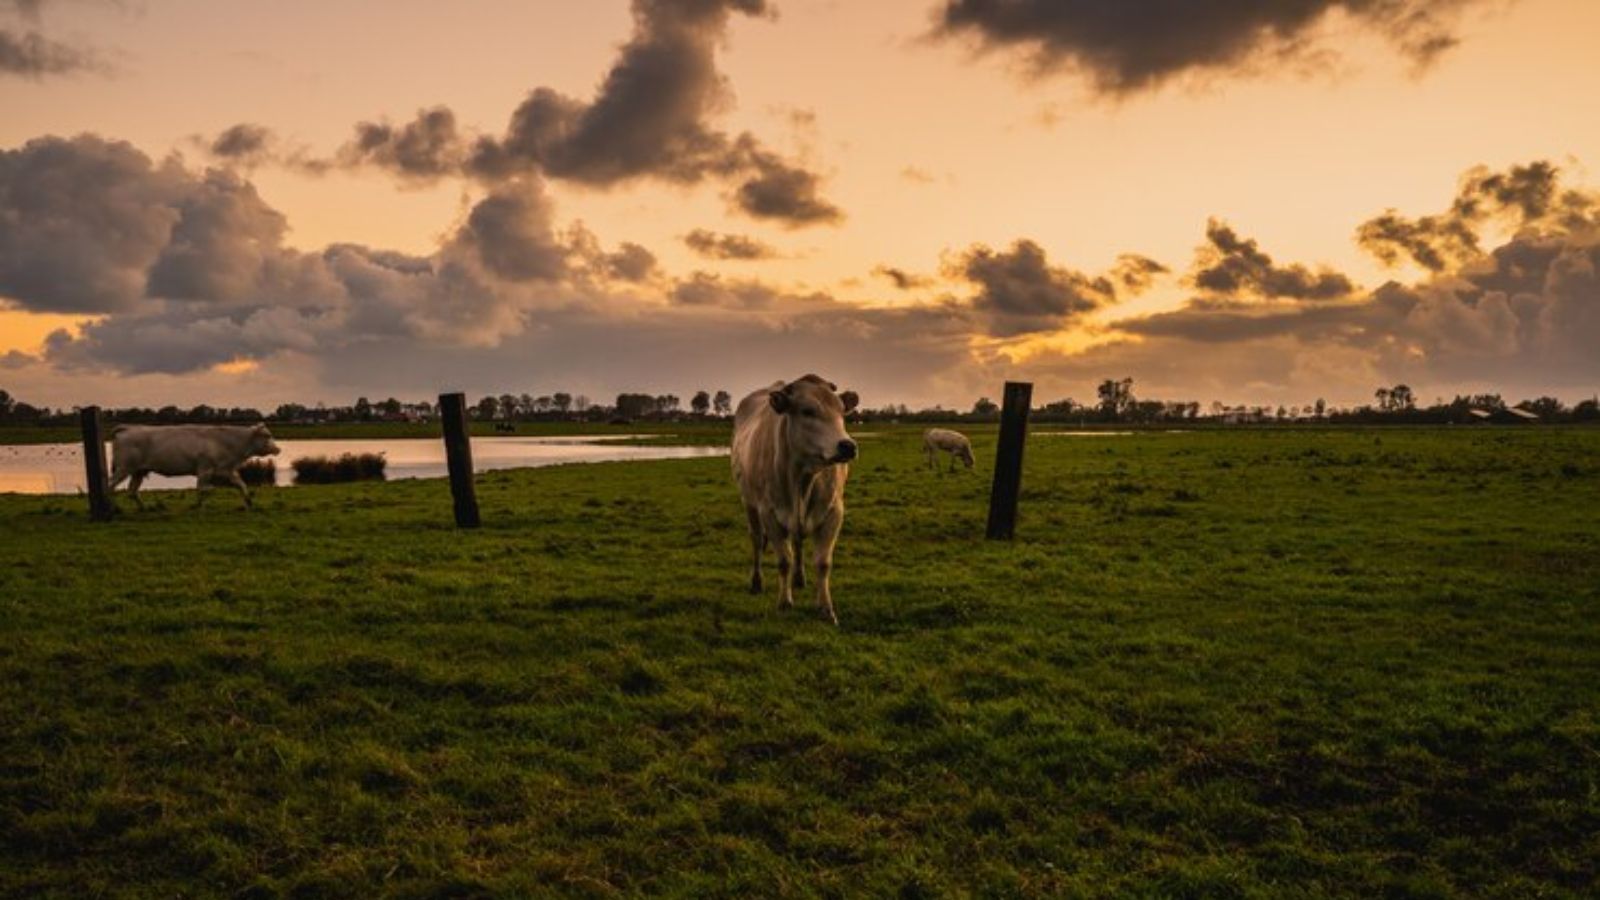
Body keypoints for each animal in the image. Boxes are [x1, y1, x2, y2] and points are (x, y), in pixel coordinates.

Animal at [108, 419, 281, 506]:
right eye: (267, 435)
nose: (278, 449)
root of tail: (128, 428)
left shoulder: (226, 469)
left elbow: (241, 484)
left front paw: (249, 501)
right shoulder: (205, 469)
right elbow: (203, 489)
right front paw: (198, 505)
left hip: (138, 471)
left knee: (132, 491)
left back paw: (144, 508)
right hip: (123, 468)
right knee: (111, 486)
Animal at [736, 373, 864, 624]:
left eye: (842, 411)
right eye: (807, 411)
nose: (847, 446)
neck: (802, 479)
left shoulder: (834, 512)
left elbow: (823, 562)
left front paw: (825, 609)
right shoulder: (769, 513)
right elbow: (783, 561)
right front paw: (784, 603)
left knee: (796, 541)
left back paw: (799, 579)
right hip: (749, 503)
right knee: (756, 540)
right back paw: (756, 582)